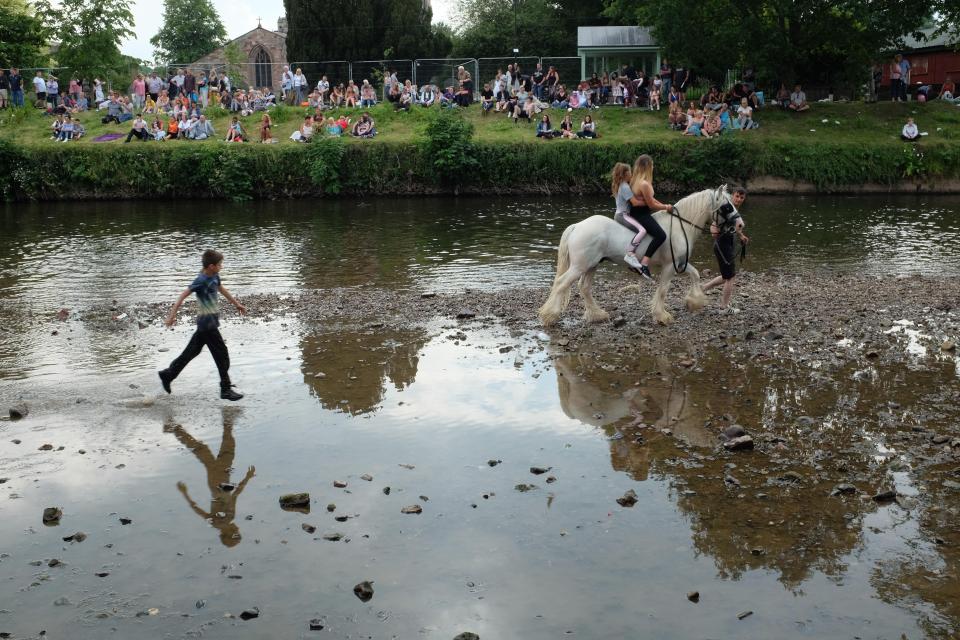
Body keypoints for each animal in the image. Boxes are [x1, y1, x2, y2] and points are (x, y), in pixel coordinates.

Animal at [540, 185, 736, 324]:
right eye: (727, 207)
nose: (738, 225)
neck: (679, 226)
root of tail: (577, 226)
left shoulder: (680, 263)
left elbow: (695, 275)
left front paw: (694, 301)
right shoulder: (670, 265)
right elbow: (663, 289)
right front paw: (662, 316)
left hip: (591, 265)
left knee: (584, 288)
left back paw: (597, 315)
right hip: (579, 266)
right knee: (562, 284)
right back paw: (550, 316)